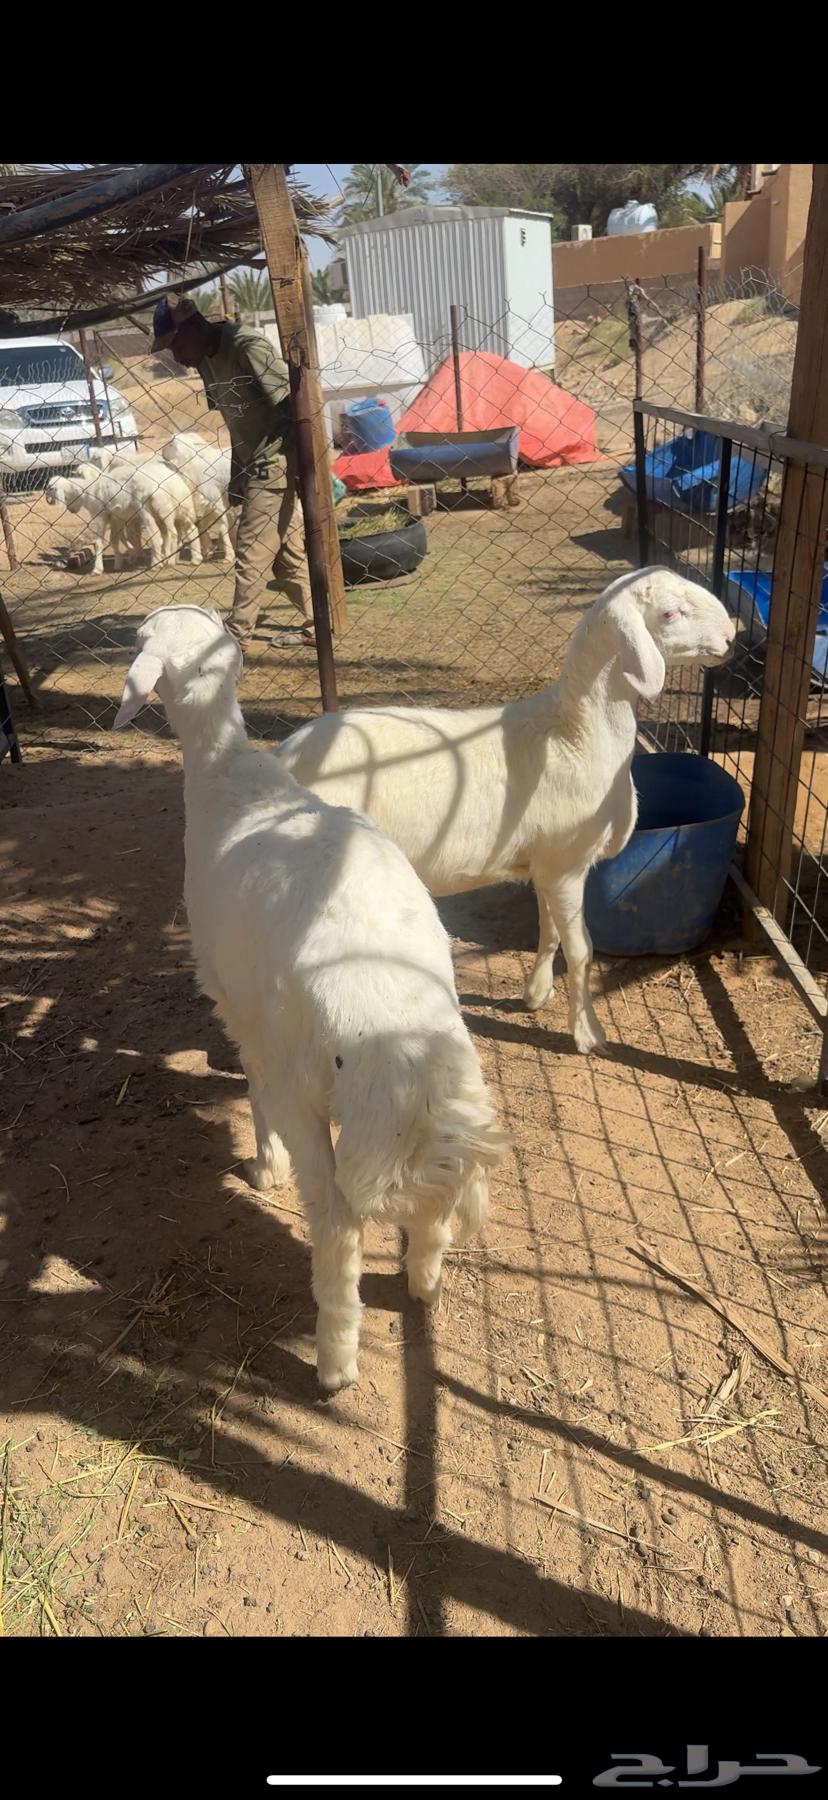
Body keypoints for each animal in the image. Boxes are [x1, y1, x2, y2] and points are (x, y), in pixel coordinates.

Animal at [113, 603, 508, 1391]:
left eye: (142, 640)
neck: (228, 775)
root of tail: (393, 1049)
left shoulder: (241, 1011)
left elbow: (252, 1087)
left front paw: (262, 1167)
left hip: (311, 1089)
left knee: (334, 1223)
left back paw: (335, 1362)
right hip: (448, 1104)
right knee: (434, 1209)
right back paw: (423, 1283)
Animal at [278, 567, 738, 1057]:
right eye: (670, 614)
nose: (732, 637)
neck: (575, 736)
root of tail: (284, 756)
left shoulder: (544, 866)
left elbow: (549, 931)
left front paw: (536, 994)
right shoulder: (566, 864)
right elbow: (581, 950)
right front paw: (589, 1033)